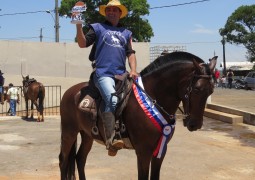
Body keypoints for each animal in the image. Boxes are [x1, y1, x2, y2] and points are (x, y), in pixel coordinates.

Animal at [59, 51, 217, 179]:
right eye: (196, 89)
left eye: (211, 91)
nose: (195, 124)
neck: (152, 97)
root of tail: (69, 92)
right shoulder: (143, 152)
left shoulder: (161, 150)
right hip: (69, 132)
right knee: (63, 160)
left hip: (87, 135)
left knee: (80, 159)